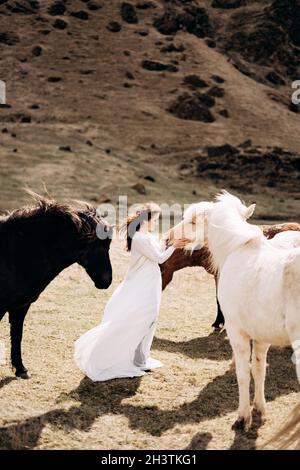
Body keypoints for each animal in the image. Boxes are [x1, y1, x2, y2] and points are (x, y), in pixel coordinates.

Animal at [0, 193, 112, 380]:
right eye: (101, 246)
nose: (107, 280)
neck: (17, 252)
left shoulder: (21, 306)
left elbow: (17, 335)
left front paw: (21, 369)